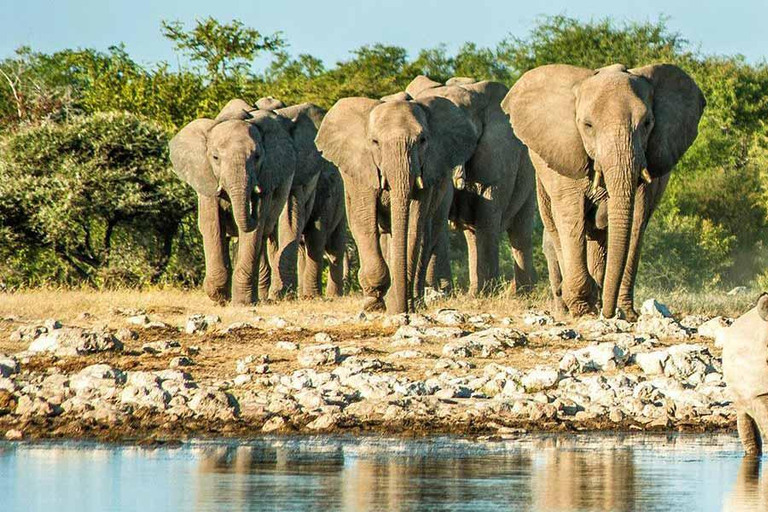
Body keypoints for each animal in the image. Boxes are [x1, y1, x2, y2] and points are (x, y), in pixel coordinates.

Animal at [316, 86, 476, 314]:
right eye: (375, 142)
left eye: (423, 140)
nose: (403, 311)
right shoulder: (361, 169)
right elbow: (365, 222)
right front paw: (373, 305)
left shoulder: (428, 169)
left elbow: (414, 226)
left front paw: (401, 303)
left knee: (426, 236)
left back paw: (413, 299)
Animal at [408, 75, 540, 296]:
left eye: (466, 138)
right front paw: (443, 294)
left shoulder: (497, 155)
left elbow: (488, 217)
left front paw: (487, 294)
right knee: (472, 235)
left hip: (529, 177)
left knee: (519, 233)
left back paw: (520, 294)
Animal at [504, 62, 708, 318]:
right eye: (587, 126)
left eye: (647, 123)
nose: (609, 313)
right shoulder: (566, 153)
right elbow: (571, 215)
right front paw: (583, 308)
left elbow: (636, 218)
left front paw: (623, 312)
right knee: (557, 227)